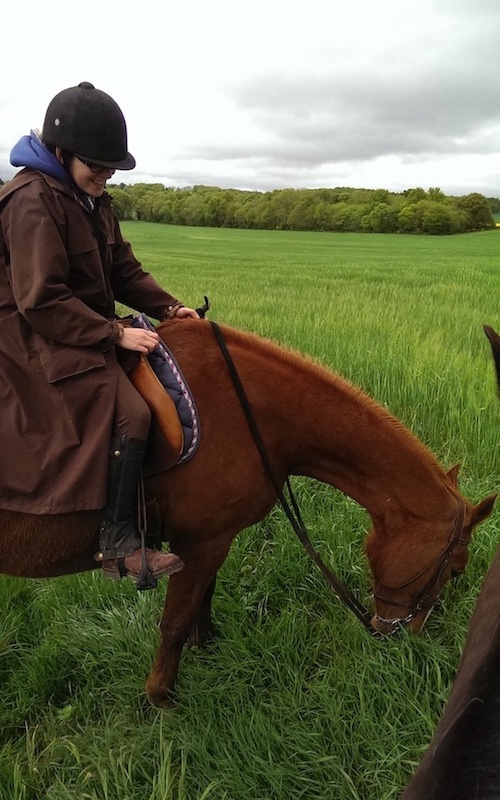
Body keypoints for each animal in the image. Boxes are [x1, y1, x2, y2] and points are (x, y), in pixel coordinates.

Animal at [0, 320, 495, 707]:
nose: (404, 640)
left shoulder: (212, 540)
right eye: (455, 570)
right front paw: (163, 698)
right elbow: (174, 622)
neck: (251, 413)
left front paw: (207, 647)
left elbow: (202, 598)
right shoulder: (201, 542)